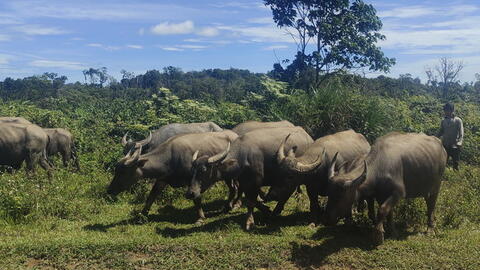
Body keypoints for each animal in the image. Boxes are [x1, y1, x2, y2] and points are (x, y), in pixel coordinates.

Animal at [107, 130, 238, 225]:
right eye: (116, 170)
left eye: (124, 172)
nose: (109, 190)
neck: (170, 158)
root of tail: (235, 135)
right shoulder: (162, 180)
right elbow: (151, 196)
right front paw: (142, 215)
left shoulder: (192, 180)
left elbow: (196, 198)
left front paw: (200, 218)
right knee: (233, 188)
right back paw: (228, 206)